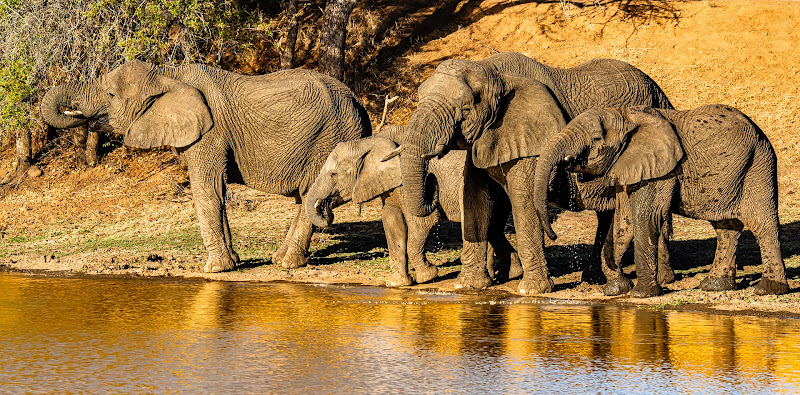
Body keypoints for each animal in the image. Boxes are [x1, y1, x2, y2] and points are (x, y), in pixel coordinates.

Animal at [40, 60, 372, 274]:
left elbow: (206, 190)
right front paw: (233, 262)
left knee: (311, 195)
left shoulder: (210, 133)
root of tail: (359, 102)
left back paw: (287, 263)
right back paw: (280, 261)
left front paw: (215, 270)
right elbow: (218, 191)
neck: (169, 74)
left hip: (330, 137)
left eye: (110, 95)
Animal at [304, 127, 520, 288]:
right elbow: (392, 221)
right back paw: (502, 276)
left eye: (333, 174)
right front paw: (397, 284)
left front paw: (428, 276)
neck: (372, 140)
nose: (326, 209)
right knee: (492, 226)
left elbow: (423, 222)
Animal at [398, 51, 668, 294]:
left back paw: (664, 279)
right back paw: (595, 278)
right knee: (609, 214)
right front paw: (468, 286)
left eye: (465, 110)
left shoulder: (533, 139)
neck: (492, 71)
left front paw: (532, 290)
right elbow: (475, 198)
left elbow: (524, 202)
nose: (431, 182)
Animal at [532, 105, 788, 296]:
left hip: (758, 165)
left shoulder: (662, 170)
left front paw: (641, 294)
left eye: (595, 139)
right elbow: (623, 223)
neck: (627, 115)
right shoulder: (628, 165)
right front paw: (615, 290)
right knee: (726, 226)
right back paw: (714, 286)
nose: (554, 235)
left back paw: (769, 289)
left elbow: (646, 218)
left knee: (761, 223)